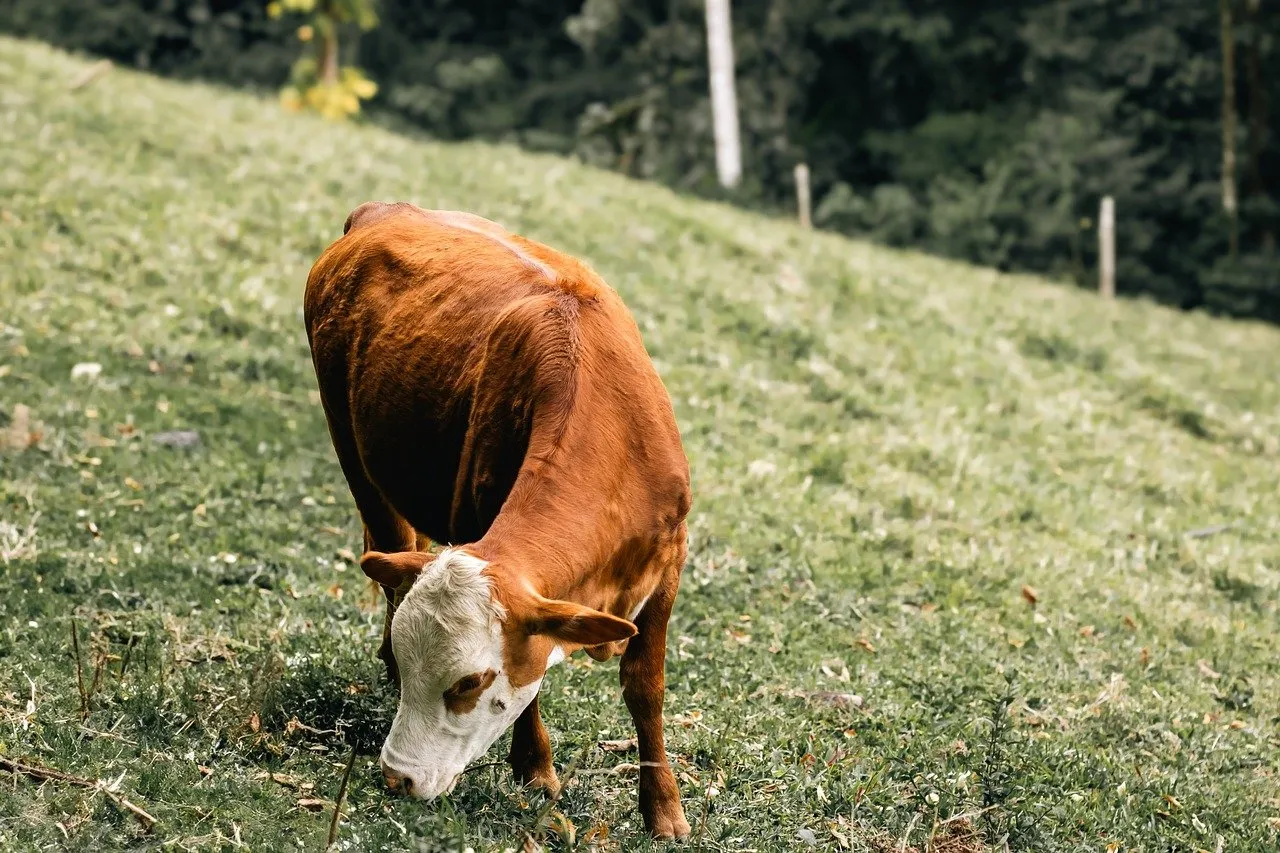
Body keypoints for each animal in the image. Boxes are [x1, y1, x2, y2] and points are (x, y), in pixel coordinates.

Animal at [303, 201, 692, 839]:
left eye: (468, 683)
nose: (397, 778)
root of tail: (384, 211)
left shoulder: (668, 563)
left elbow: (646, 687)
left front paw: (663, 809)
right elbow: (532, 692)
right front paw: (535, 769)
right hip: (350, 442)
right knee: (389, 546)